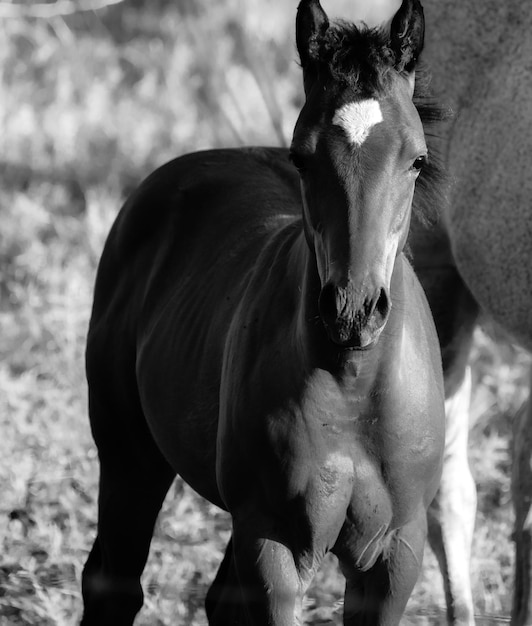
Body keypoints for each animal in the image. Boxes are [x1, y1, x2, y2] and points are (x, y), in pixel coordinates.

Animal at [80, 1, 444, 624]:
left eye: (416, 160)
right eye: (302, 157)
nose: (353, 311)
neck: (355, 392)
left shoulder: (395, 557)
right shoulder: (272, 541)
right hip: (129, 455)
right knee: (112, 582)